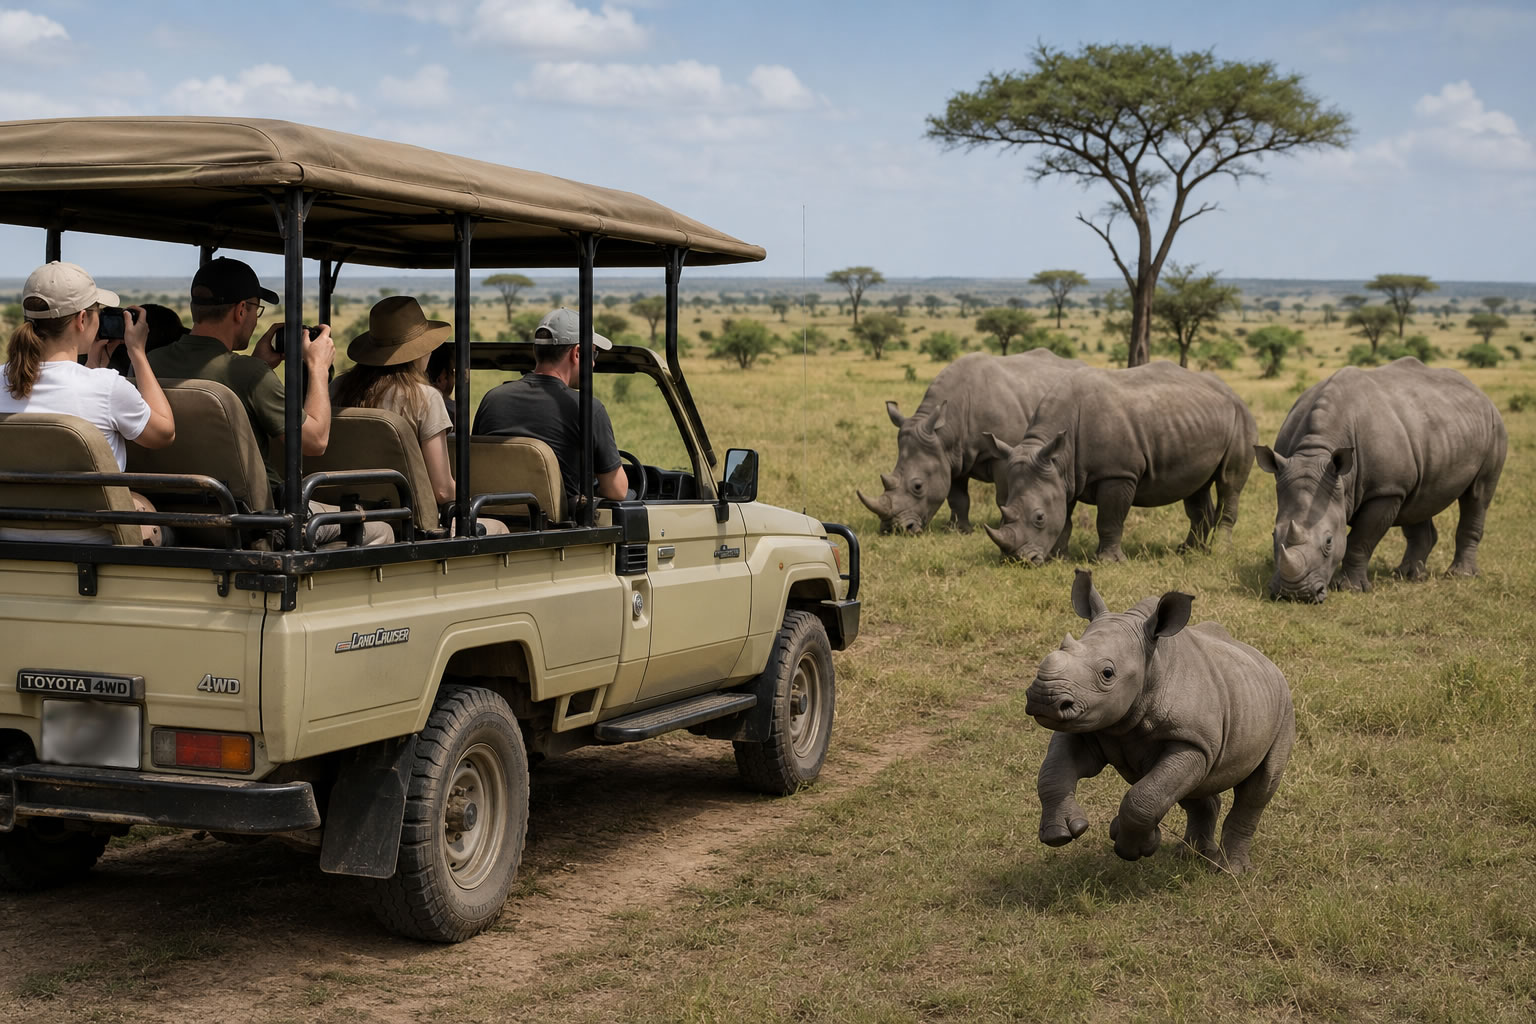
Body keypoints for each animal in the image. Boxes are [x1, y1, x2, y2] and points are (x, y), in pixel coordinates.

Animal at [857, 350, 1080, 534]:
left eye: (918, 486)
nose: (892, 530)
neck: (945, 430)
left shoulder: (1001, 455)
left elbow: (1004, 496)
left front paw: (1003, 527)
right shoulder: (951, 455)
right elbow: (957, 497)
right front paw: (958, 530)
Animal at [984, 362, 1257, 563]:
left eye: (1039, 518)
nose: (1016, 560)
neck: (1058, 455)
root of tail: (1234, 393)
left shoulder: (1118, 473)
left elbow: (1109, 518)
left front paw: (1107, 562)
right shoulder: (1062, 474)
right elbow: (1065, 516)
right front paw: (1058, 558)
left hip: (1241, 418)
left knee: (1229, 483)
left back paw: (1219, 553)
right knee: (1196, 489)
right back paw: (1188, 551)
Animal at [1029, 570, 1295, 874]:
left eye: (1108, 673)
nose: (1044, 699)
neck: (1152, 667)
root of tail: (1267, 661)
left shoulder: (1191, 741)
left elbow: (1143, 796)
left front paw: (1130, 846)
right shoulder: (1090, 726)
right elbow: (1053, 771)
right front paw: (1059, 834)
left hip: (1284, 710)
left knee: (1258, 788)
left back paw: (1229, 870)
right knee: (1197, 788)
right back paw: (1191, 856)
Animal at [1255, 357, 1507, 602]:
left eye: (1329, 542)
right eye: (1273, 535)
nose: (1294, 594)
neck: (1315, 452)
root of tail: (1480, 392)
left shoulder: (1386, 490)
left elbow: (1360, 539)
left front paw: (1351, 589)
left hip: (1494, 428)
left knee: (1477, 496)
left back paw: (1460, 575)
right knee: (1418, 501)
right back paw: (1408, 575)